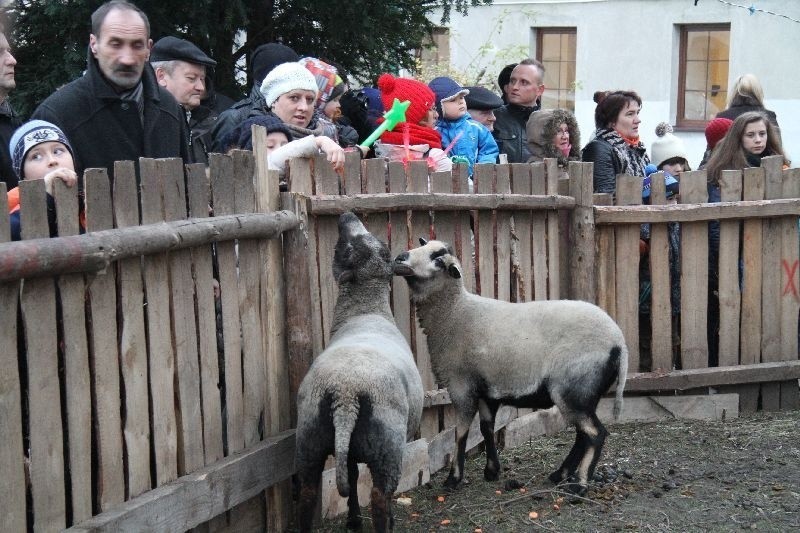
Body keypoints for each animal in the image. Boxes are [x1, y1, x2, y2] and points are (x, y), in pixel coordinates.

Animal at [296, 213, 424, 532]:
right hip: (388, 446)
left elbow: (352, 477)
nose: (347, 215)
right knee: (380, 496)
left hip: (309, 439)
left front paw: (353, 519)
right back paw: (387, 523)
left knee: (307, 493)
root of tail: (346, 394)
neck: (365, 310)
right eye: (346, 246)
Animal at [390, 238, 628, 494]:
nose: (400, 258)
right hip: (585, 394)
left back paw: (579, 484)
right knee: (582, 435)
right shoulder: (486, 390)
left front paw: (453, 478)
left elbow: (461, 433)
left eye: (437, 260)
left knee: (595, 434)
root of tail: (619, 343)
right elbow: (486, 428)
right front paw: (492, 471)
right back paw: (560, 474)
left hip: (573, 387)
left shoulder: (461, 385)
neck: (455, 312)